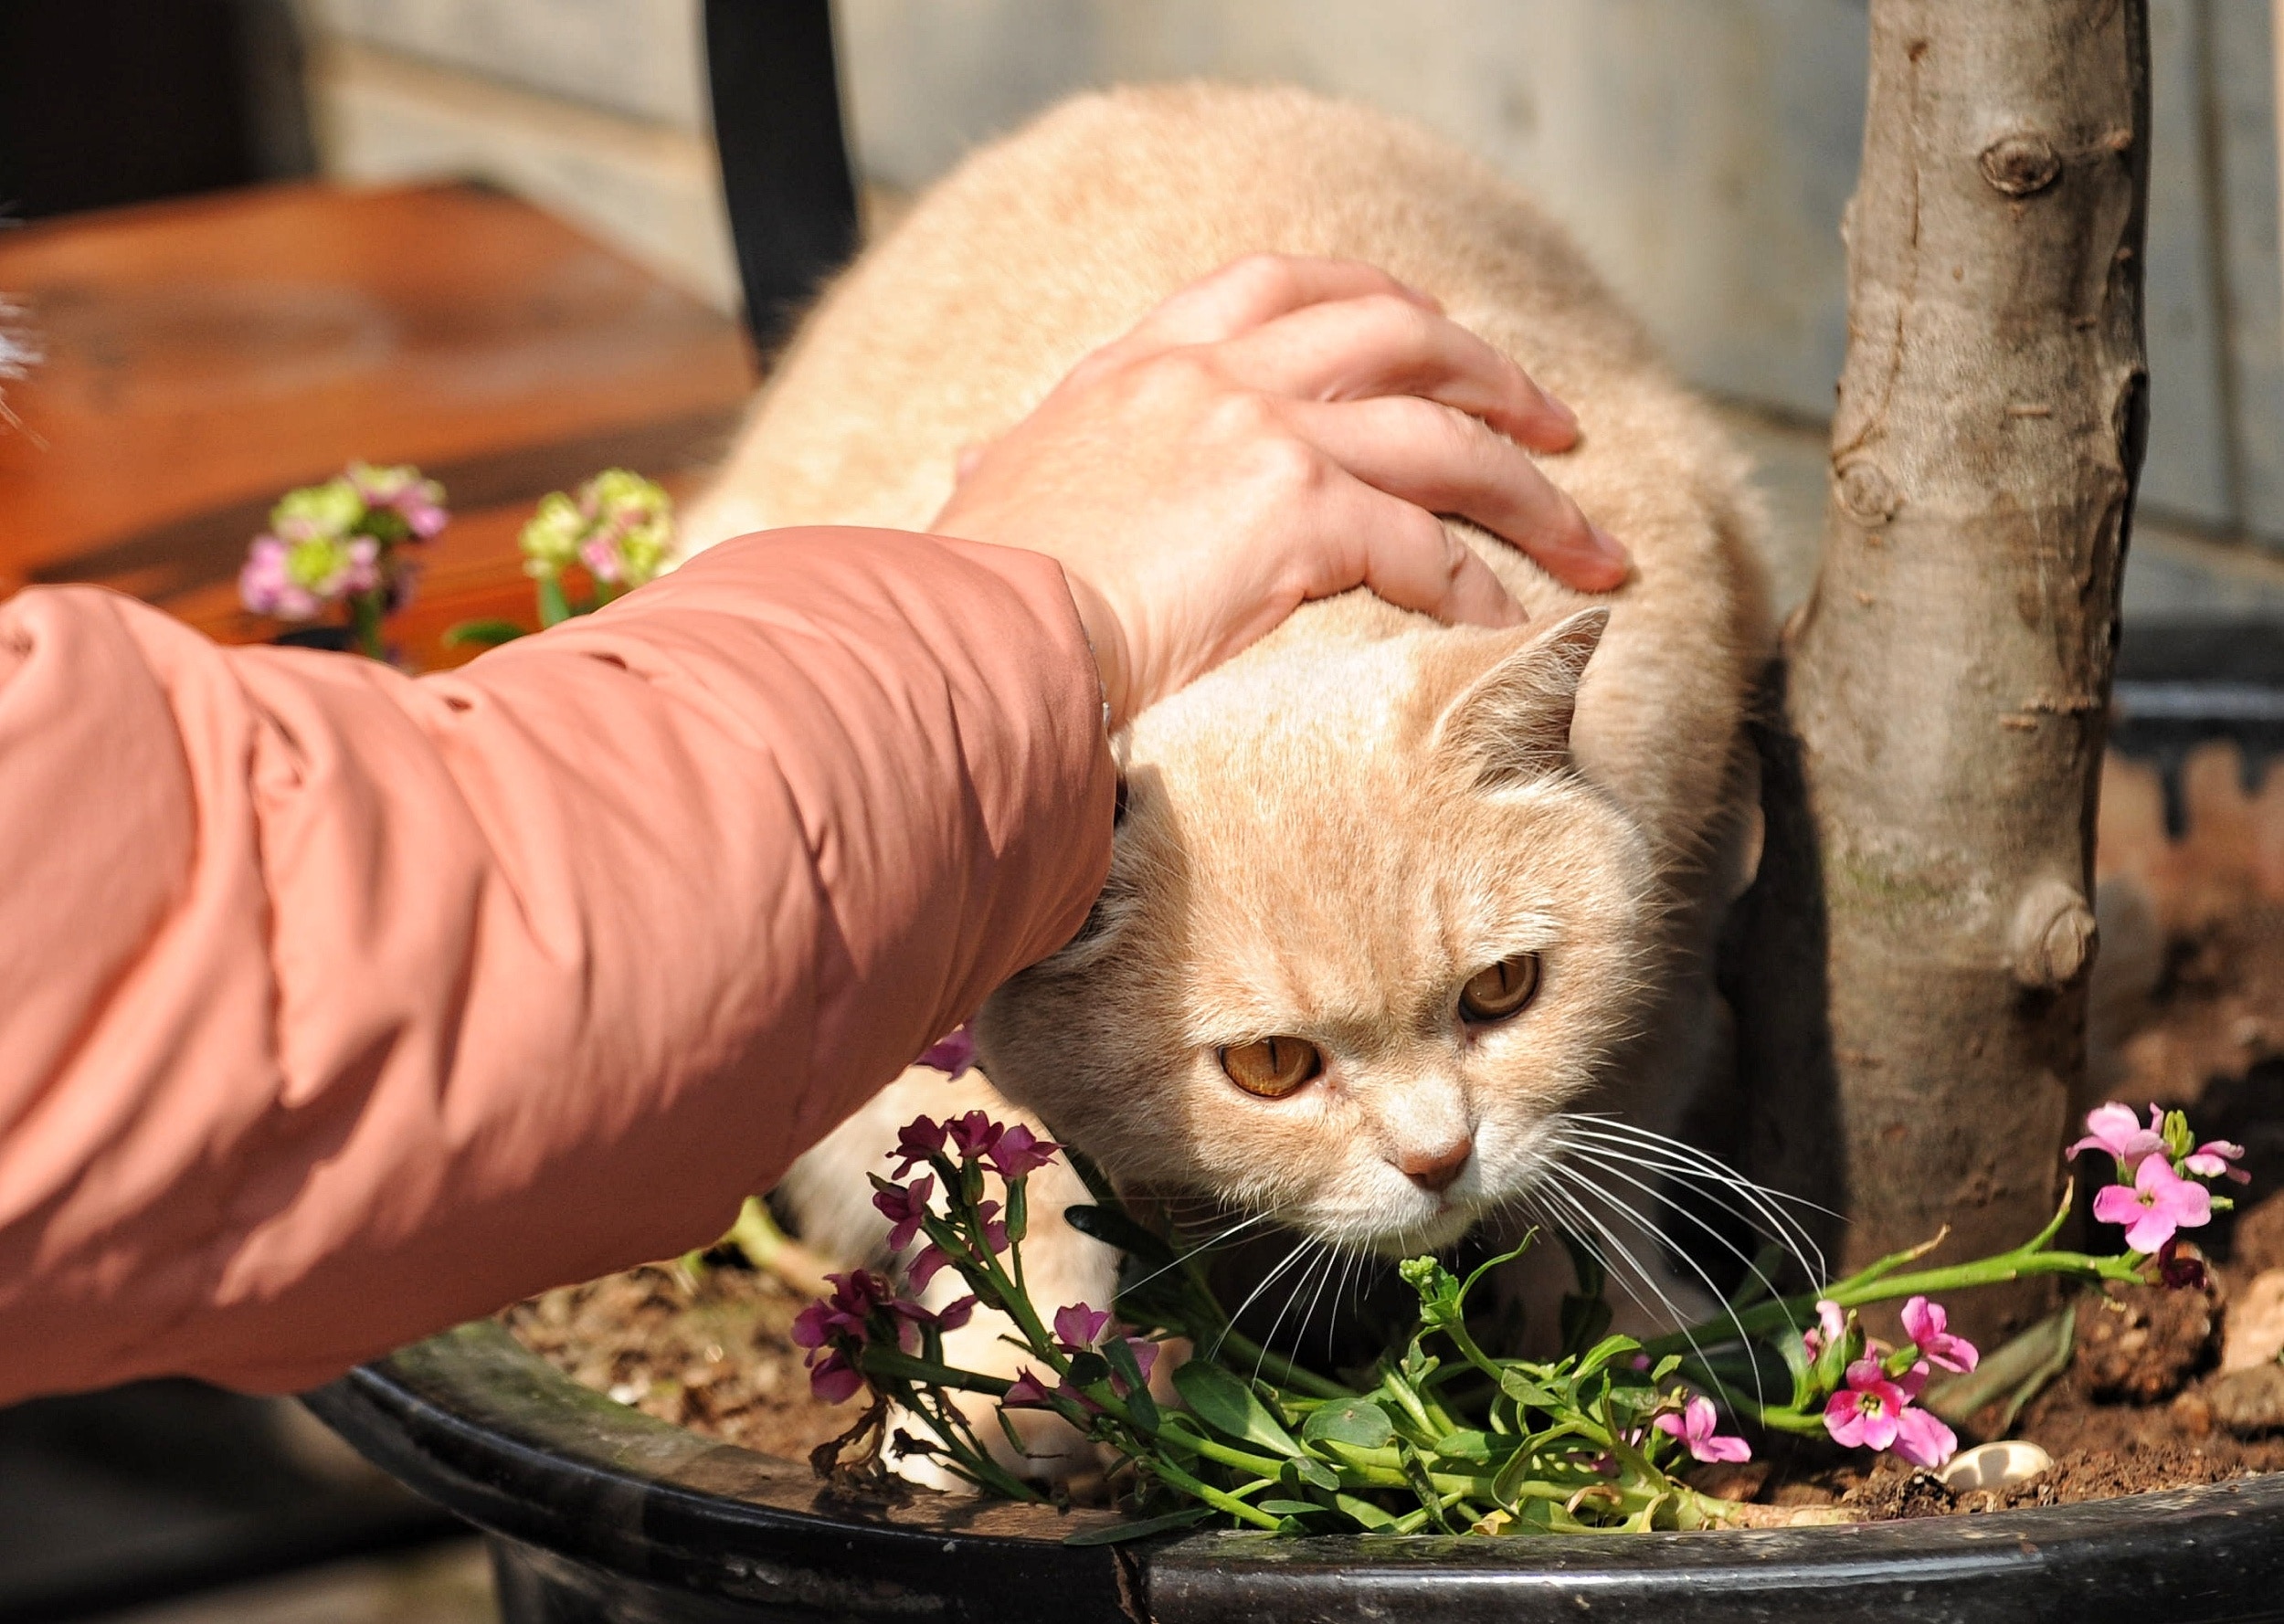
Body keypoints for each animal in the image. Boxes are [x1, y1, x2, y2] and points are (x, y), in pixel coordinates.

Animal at [685, 82, 1772, 1489]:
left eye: (1503, 991)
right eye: (1268, 1064)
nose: (1440, 1156)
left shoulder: (1682, 878)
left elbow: (1606, 1138)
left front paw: (1627, 1334)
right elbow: (1001, 1181)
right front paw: (1009, 1393)